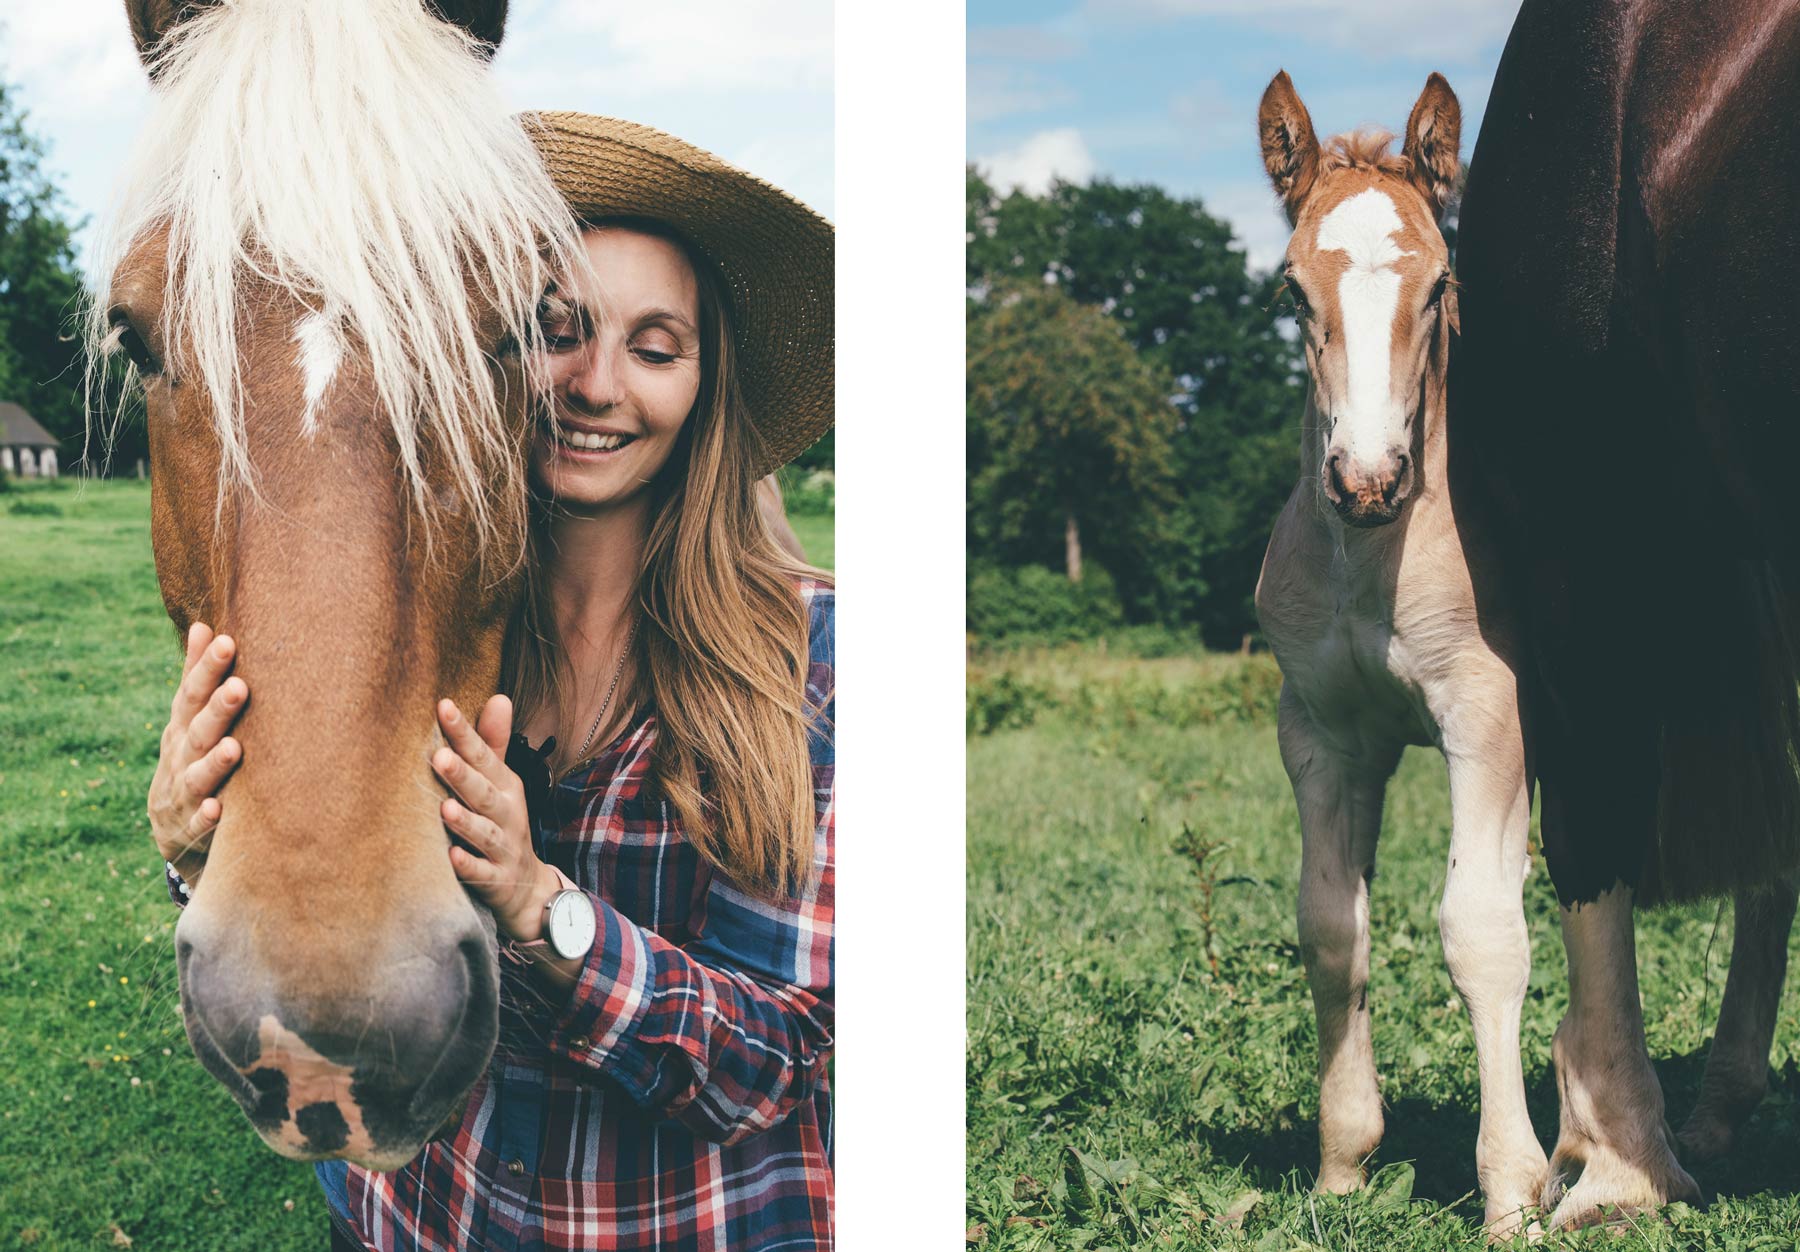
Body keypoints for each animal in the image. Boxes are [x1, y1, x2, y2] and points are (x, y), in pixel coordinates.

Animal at [1252, 71, 1548, 1230]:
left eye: (1438, 285)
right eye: (1292, 292)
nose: (1370, 480)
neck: (1371, 564)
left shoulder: (1490, 719)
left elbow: (1482, 930)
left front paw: (1514, 1190)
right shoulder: (1324, 736)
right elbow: (1332, 927)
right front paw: (1343, 1164)